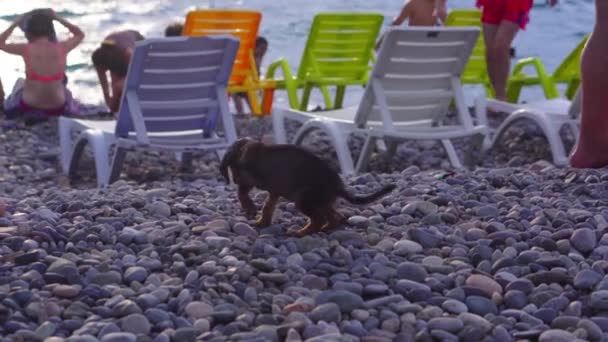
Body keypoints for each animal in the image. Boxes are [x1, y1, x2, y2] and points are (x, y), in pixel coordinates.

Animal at [221, 138, 396, 236]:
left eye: (232, 169)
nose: (234, 179)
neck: (244, 148)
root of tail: (337, 185)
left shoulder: (247, 180)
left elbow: (242, 194)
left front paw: (250, 209)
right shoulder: (274, 191)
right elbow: (267, 207)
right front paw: (262, 222)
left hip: (304, 200)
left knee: (318, 219)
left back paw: (300, 233)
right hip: (321, 201)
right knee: (336, 217)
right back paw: (326, 228)